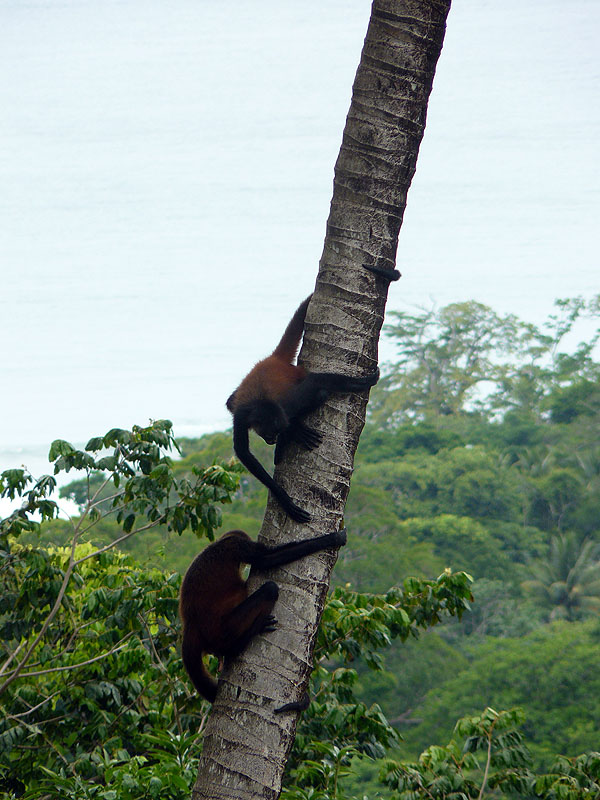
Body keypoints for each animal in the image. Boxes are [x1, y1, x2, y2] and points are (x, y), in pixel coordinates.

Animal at [179, 526, 347, 710]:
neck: (219, 543)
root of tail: (191, 626)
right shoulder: (238, 546)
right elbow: (265, 560)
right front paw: (333, 539)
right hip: (223, 628)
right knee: (270, 589)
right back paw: (248, 635)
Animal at [226, 294, 379, 523]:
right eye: (268, 434)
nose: (272, 440)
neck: (261, 404)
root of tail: (274, 360)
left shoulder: (285, 406)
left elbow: (316, 382)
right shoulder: (244, 415)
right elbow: (243, 451)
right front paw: (283, 498)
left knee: (319, 392)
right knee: (230, 402)